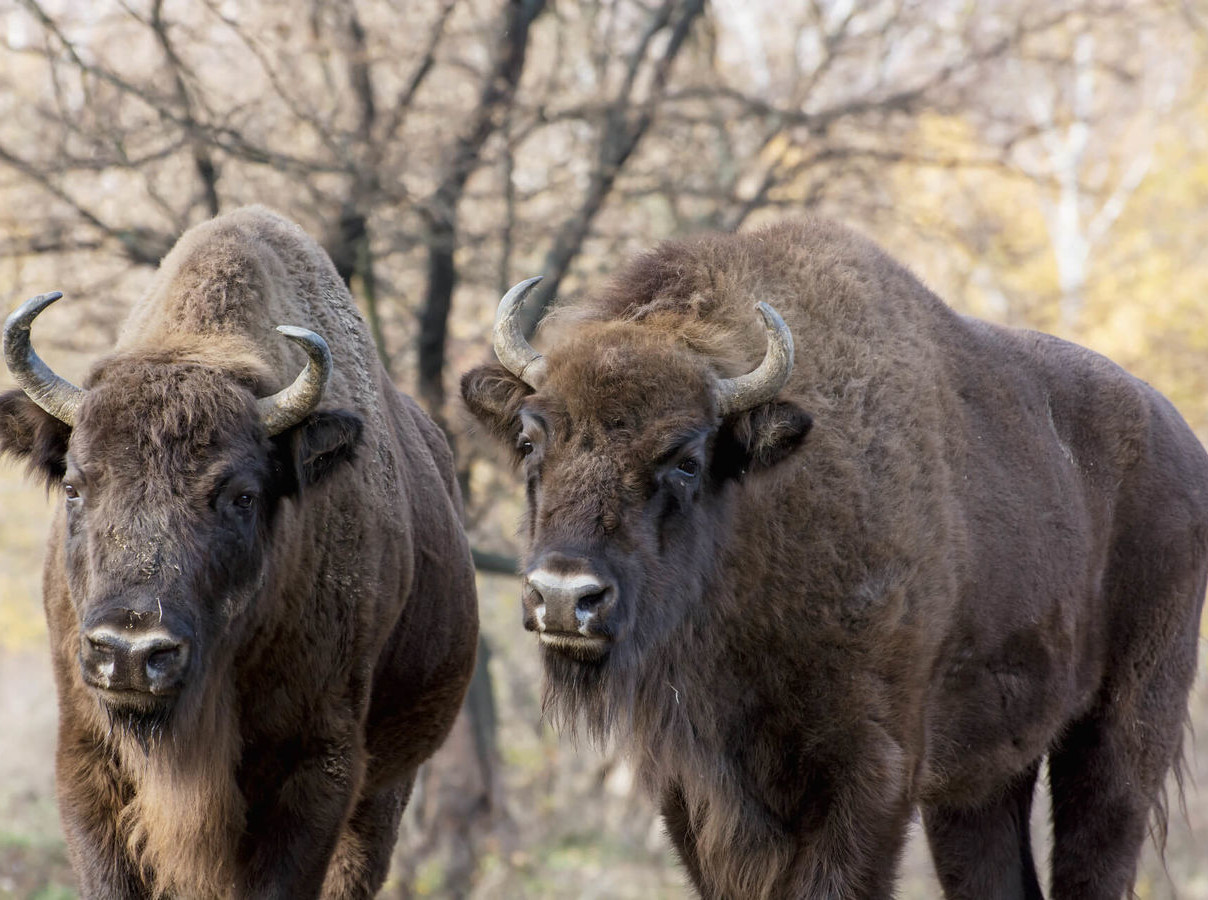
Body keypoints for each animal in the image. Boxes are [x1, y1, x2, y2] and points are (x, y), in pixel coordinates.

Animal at [1, 205, 480, 898]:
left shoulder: (318, 770)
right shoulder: (87, 761)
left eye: (243, 495)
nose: (131, 652)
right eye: (74, 485)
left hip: (387, 788)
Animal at [461, 219, 1208, 898]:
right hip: (983, 781)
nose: (564, 597)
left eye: (686, 458)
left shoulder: (871, 776)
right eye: (529, 441)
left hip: (1121, 735)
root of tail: (1184, 445)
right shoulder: (693, 786)